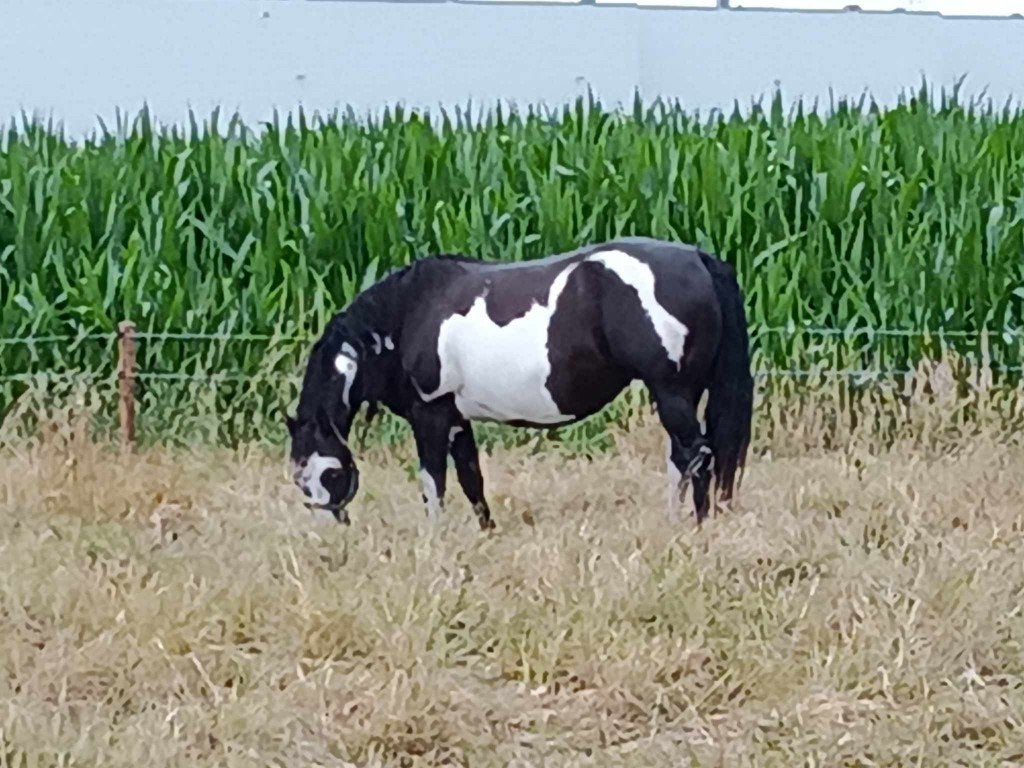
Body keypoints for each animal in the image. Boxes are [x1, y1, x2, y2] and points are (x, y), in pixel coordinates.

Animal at [285, 236, 754, 529]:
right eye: (298, 480)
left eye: (324, 473)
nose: (331, 534)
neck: (408, 315)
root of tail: (700, 260)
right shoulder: (455, 417)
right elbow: (471, 478)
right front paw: (486, 532)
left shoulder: (430, 414)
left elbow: (433, 482)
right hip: (685, 392)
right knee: (687, 455)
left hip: (671, 391)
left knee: (697, 455)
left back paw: (693, 524)